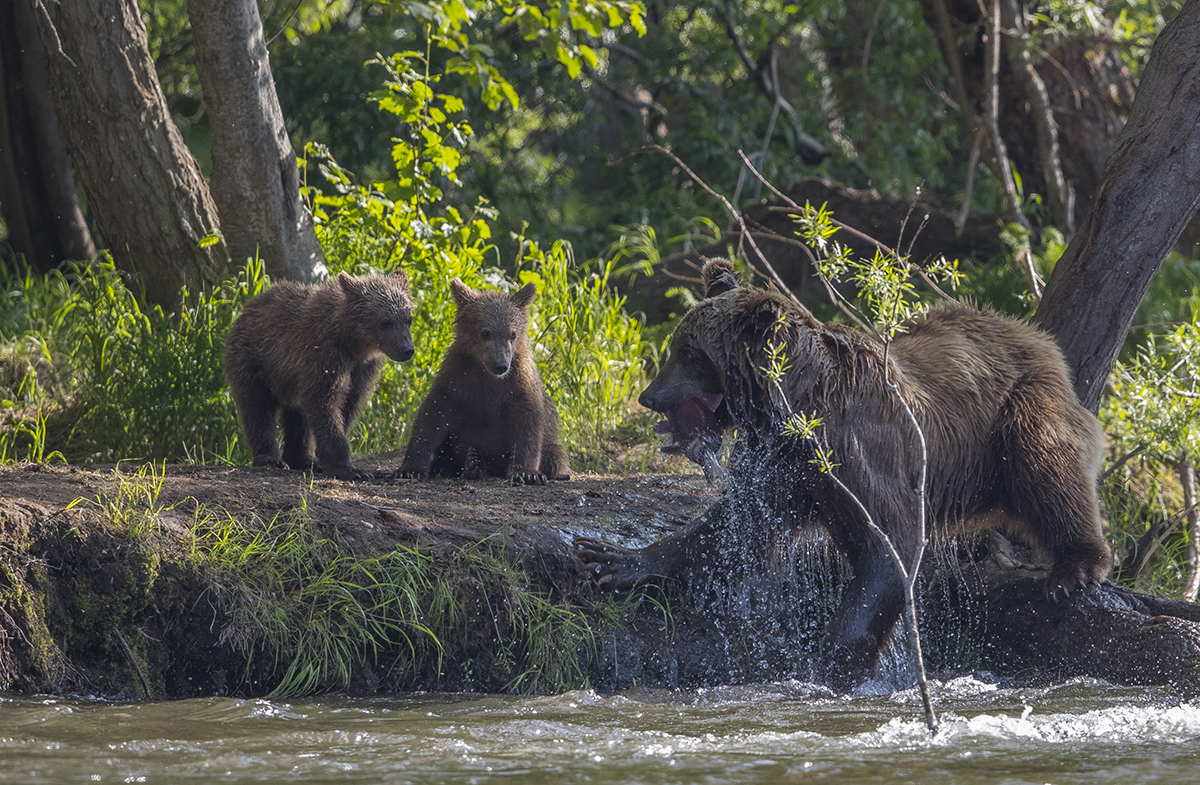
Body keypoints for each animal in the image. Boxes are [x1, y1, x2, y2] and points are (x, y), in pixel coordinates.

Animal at [224, 268, 412, 480]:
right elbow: (324, 401)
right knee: (257, 408)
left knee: (298, 417)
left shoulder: (363, 369)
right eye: (386, 322)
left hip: (290, 379)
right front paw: (349, 469)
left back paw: (302, 459)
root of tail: (247, 307)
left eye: (408, 319)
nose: (407, 349)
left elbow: (348, 404)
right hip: (253, 362)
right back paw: (270, 458)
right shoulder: (324, 354)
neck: (353, 343)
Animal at [398, 277, 571, 484]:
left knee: (554, 456)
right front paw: (411, 469)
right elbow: (432, 415)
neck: (486, 374)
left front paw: (527, 472)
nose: (501, 365)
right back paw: (465, 464)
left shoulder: (519, 384)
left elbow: (527, 423)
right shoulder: (457, 377)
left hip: (552, 444)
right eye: (485, 333)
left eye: (512, 334)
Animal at [576, 261, 1108, 691]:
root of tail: (1031, 333)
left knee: (1048, 468)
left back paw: (1074, 569)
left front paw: (830, 665)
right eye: (675, 346)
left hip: (1012, 414)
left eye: (689, 353)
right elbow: (734, 526)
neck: (795, 406)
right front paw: (611, 559)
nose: (648, 396)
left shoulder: (859, 451)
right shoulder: (789, 469)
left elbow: (891, 544)